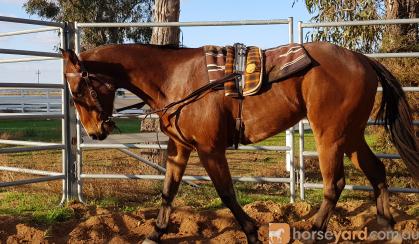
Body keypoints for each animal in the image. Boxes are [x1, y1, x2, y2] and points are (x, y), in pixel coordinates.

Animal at [60, 42, 418, 242]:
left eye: (77, 90)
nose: (95, 132)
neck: (176, 79)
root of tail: (362, 59)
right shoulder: (180, 147)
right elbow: (168, 191)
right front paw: (154, 233)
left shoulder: (210, 150)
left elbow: (227, 194)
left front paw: (252, 232)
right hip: (352, 135)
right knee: (377, 172)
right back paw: (387, 229)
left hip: (330, 135)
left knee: (335, 184)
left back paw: (313, 232)